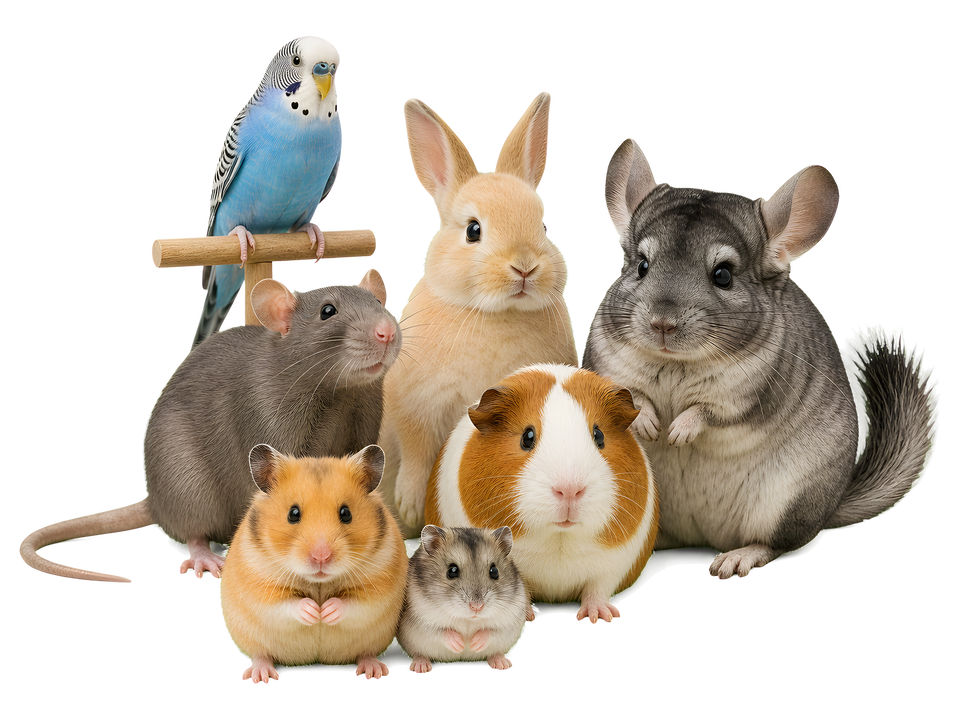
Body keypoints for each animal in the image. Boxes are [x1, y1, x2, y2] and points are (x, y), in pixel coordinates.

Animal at [378, 88, 580, 532]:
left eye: (543, 225)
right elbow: (416, 455)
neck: (493, 315)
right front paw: (410, 507)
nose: (524, 266)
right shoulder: (414, 409)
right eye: (473, 230)